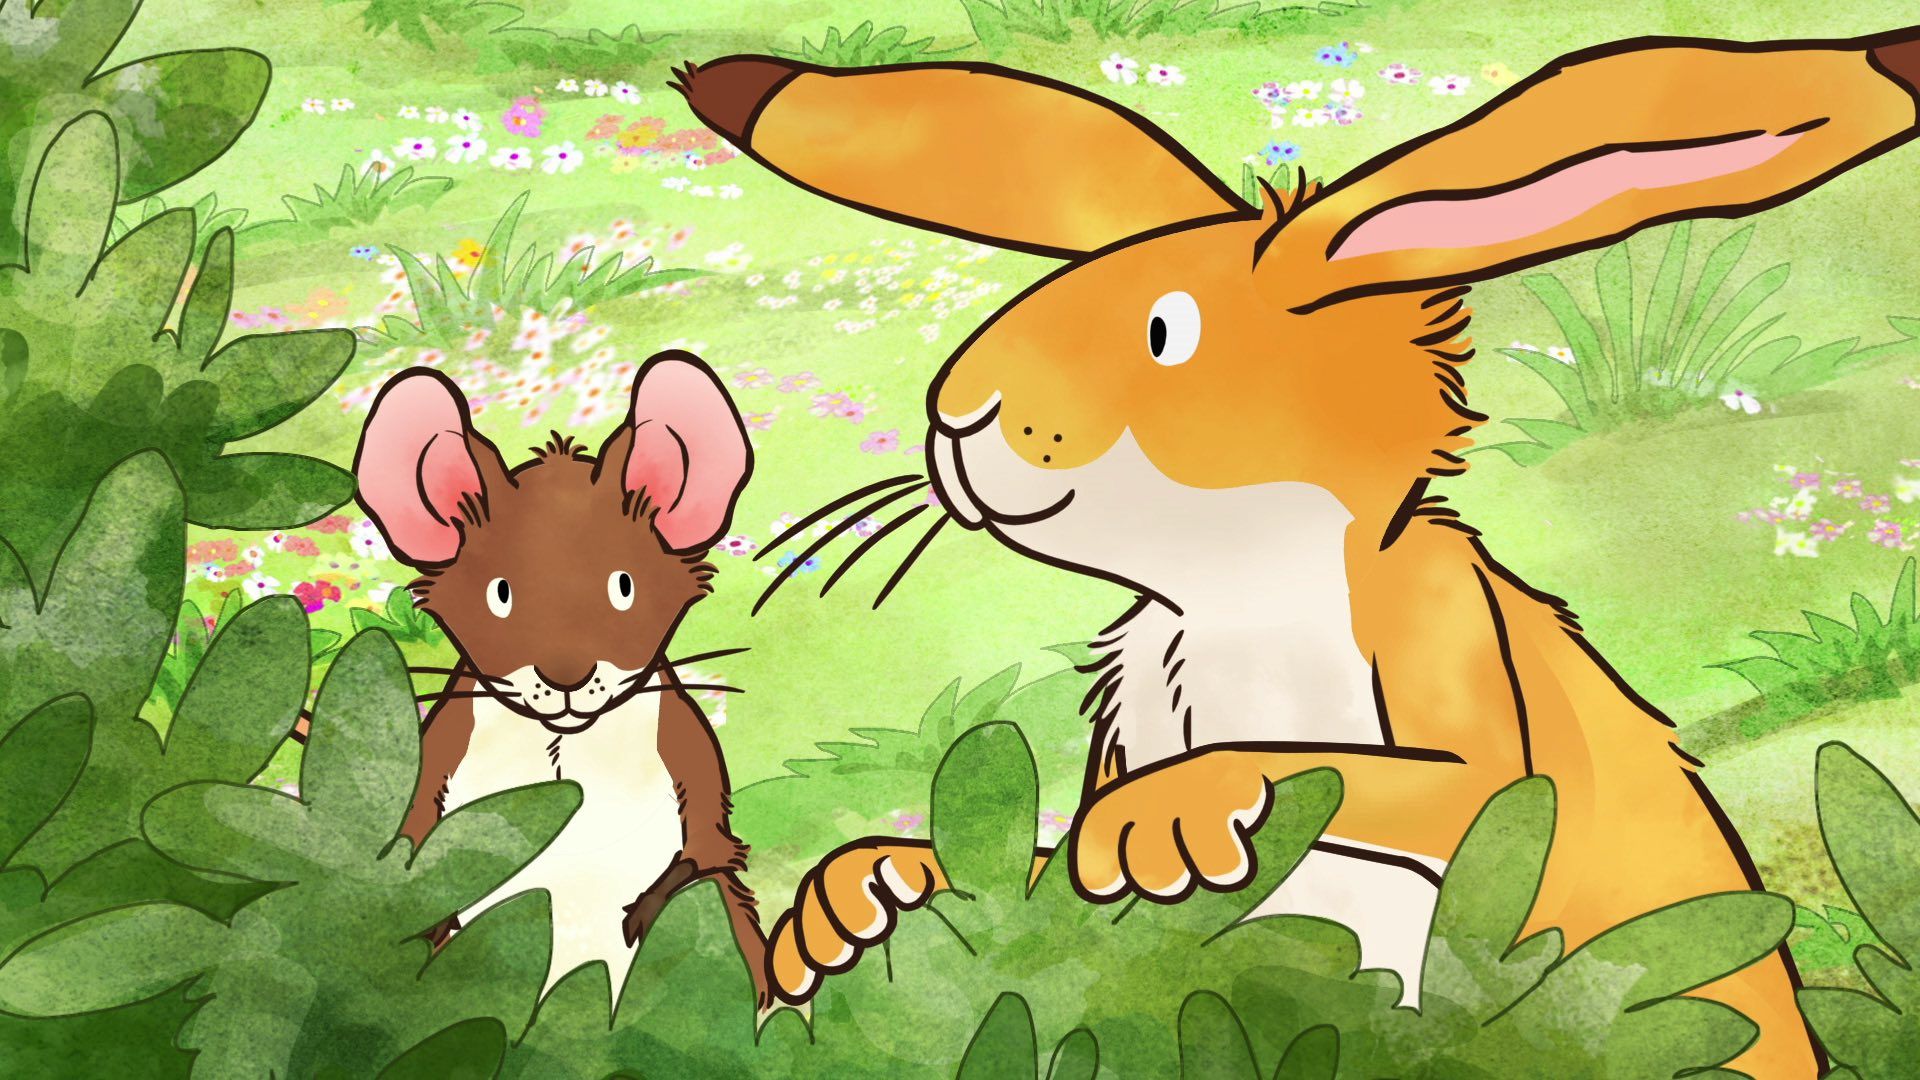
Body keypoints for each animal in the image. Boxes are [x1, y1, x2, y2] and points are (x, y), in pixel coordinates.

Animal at [352, 351, 768, 1006]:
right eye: (500, 594)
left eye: (624, 587)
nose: (567, 676)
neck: (563, 749)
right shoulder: (438, 768)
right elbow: (413, 854)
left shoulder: (691, 766)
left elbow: (704, 853)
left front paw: (643, 912)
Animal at [672, 25, 1920, 1077]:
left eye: (1165, 331)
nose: (956, 417)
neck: (1236, 590)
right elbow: (1040, 872)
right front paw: (855, 897)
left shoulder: (1439, 636)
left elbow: (1443, 782)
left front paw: (1166, 823)